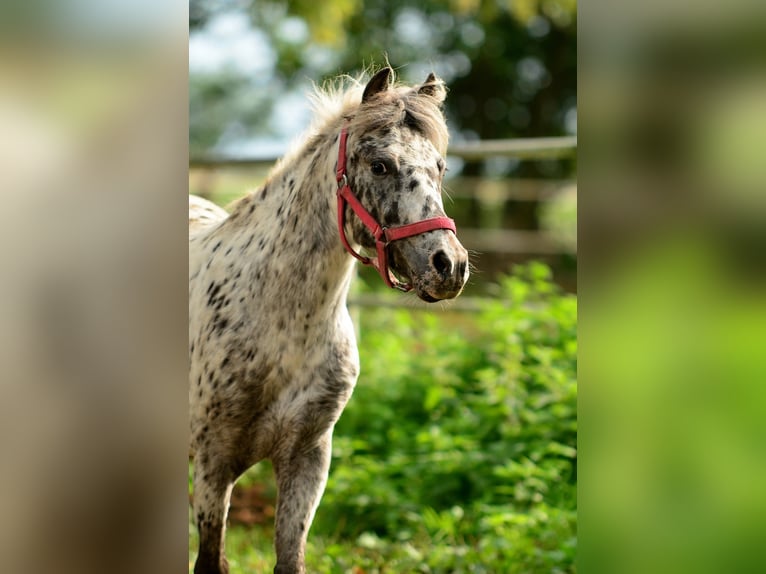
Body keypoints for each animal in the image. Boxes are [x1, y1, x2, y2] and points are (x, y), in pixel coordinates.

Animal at [189, 67, 469, 574]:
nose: (449, 266)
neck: (282, 328)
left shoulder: (309, 457)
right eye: (380, 166)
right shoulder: (212, 465)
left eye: (440, 168)